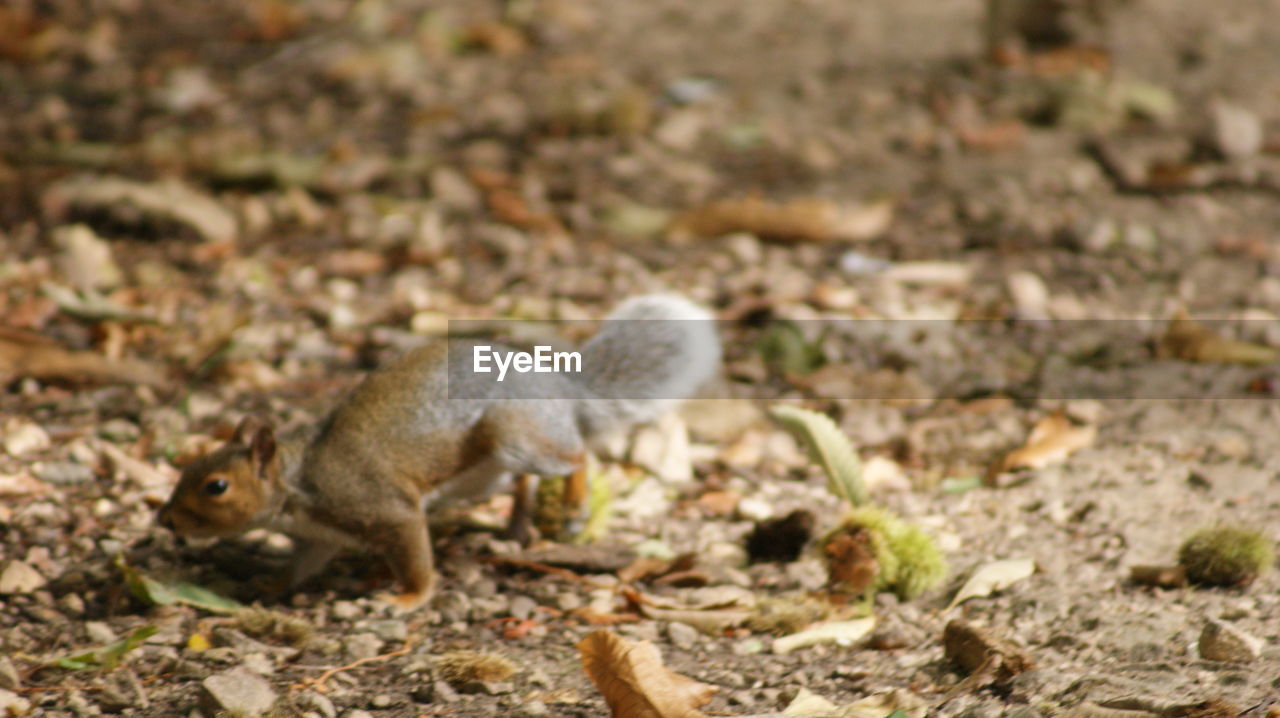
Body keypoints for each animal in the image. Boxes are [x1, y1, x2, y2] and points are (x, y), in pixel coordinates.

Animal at [157, 295, 721, 609]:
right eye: (188, 468)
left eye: (216, 486)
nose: (165, 520)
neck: (299, 482)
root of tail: (558, 385)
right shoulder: (320, 536)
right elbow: (303, 567)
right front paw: (271, 582)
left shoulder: (383, 509)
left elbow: (415, 556)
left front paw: (408, 598)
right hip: (488, 470)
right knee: (526, 479)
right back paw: (516, 524)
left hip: (512, 434)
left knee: (576, 457)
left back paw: (574, 508)